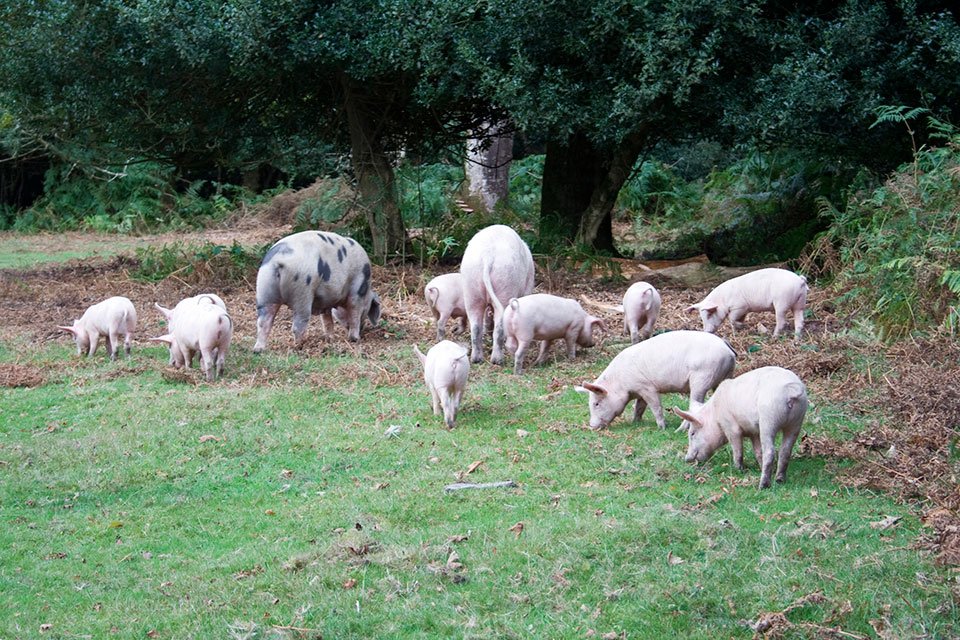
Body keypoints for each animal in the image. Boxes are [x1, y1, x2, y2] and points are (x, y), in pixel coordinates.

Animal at [253, 231, 381, 352]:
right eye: (368, 308)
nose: (362, 330)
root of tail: (278, 261)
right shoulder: (357, 292)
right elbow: (354, 313)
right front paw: (355, 339)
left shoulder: (326, 300)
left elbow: (327, 319)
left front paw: (330, 339)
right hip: (302, 291)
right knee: (298, 323)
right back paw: (299, 346)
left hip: (264, 290)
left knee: (263, 322)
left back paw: (258, 350)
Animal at [459, 225, 535, 365]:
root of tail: (488, 255)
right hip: (505, 284)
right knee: (499, 327)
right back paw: (497, 360)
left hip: (470, 287)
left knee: (476, 326)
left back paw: (476, 359)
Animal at [575, 330, 735, 430]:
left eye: (596, 403)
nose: (591, 426)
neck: (620, 382)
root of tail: (726, 348)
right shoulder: (639, 391)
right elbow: (639, 406)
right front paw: (635, 422)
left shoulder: (647, 387)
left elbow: (655, 406)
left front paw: (662, 428)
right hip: (725, 376)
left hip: (702, 378)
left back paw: (679, 430)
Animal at [672, 366, 808, 489]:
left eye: (692, 433)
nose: (687, 458)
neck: (715, 415)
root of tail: (791, 391)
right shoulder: (754, 432)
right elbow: (757, 451)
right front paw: (758, 465)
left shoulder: (730, 426)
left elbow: (737, 449)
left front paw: (739, 470)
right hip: (797, 421)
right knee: (785, 451)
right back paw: (779, 480)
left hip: (768, 419)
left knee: (770, 451)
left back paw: (763, 486)